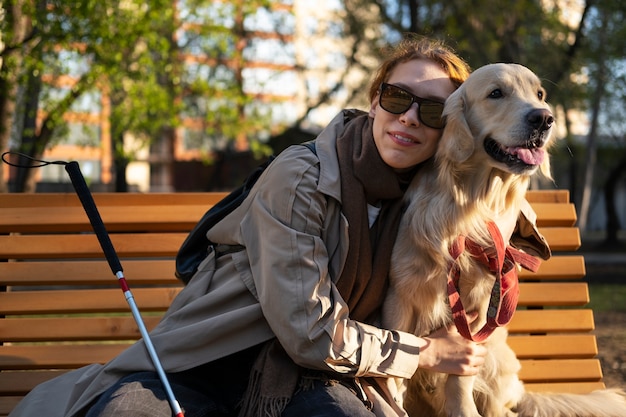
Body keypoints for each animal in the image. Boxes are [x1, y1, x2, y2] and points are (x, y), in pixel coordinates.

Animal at [380, 63, 624, 416]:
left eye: (540, 94)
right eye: (496, 93)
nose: (544, 118)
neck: (470, 206)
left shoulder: (478, 310)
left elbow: (459, 377)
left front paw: (463, 410)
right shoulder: (400, 295)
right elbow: (394, 374)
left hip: (498, 358)